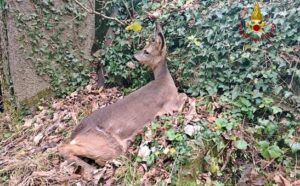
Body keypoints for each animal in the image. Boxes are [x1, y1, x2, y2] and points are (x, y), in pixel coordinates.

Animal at [57, 23, 186, 177]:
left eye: (146, 51)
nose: (134, 57)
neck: (164, 81)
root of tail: (74, 135)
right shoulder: (170, 105)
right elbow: (185, 96)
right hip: (107, 144)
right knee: (65, 148)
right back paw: (90, 169)